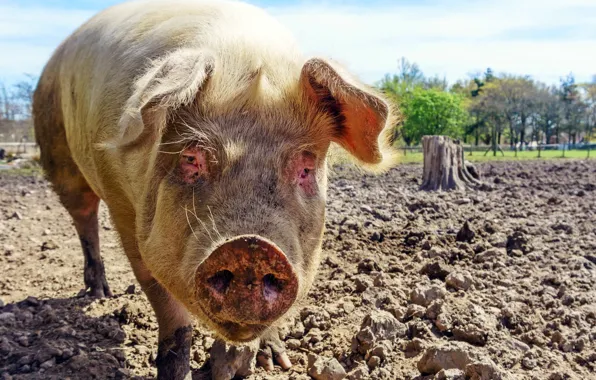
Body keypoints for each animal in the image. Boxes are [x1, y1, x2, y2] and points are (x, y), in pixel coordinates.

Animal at [35, 0, 400, 378]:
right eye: (191, 158)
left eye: (305, 168)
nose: (251, 246)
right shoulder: (123, 208)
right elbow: (169, 312)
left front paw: (271, 362)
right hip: (56, 149)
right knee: (84, 218)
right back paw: (99, 294)